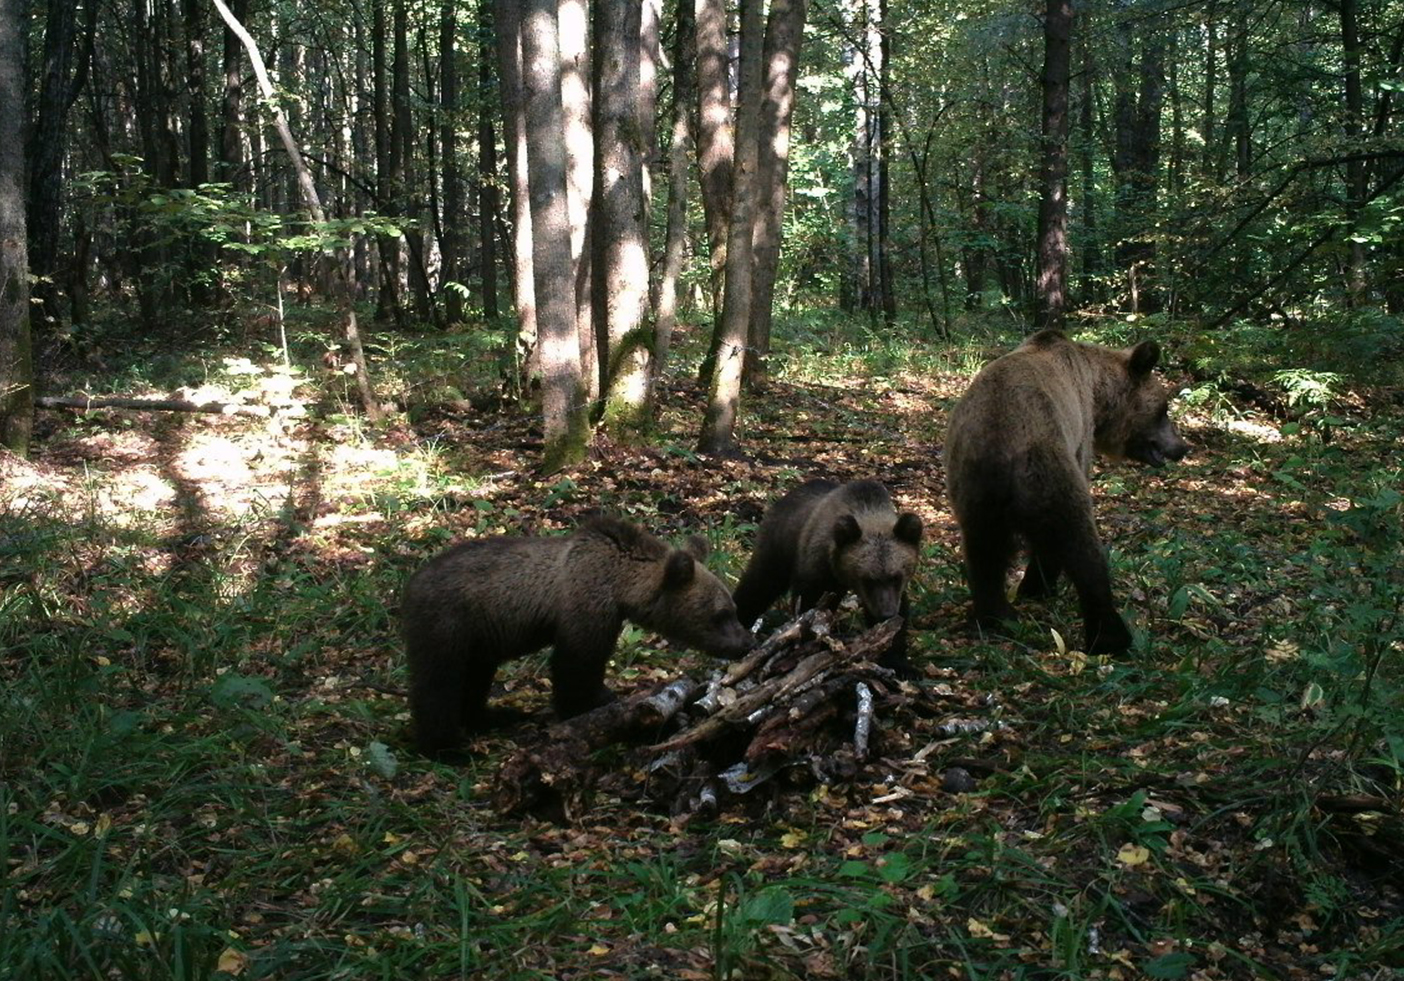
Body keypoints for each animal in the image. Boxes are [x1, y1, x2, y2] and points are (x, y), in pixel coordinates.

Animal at [404, 519, 758, 757]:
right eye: (720, 614)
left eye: (732, 608)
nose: (746, 642)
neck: (621, 587)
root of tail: (411, 584)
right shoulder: (586, 607)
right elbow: (575, 670)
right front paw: (602, 704)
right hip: (449, 623)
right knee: (437, 683)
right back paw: (445, 746)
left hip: (481, 638)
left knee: (476, 677)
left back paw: (491, 716)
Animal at [730, 479, 926, 670]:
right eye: (869, 579)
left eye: (896, 577)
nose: (886, 613)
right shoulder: (816, 571)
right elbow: (808, 606)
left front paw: (899, 662)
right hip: (777, 545)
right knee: (760, 584)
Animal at [943, 332, 1184, 659]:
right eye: (1163, 409)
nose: (1181, 448)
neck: (1097, 390)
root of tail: (999, 444)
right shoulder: (1080, 437)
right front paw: (1040, 588)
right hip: (1047, 467)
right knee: (1079, 542)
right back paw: (1110, 636)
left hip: (972, 485)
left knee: (983, 551)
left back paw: (997, 616)